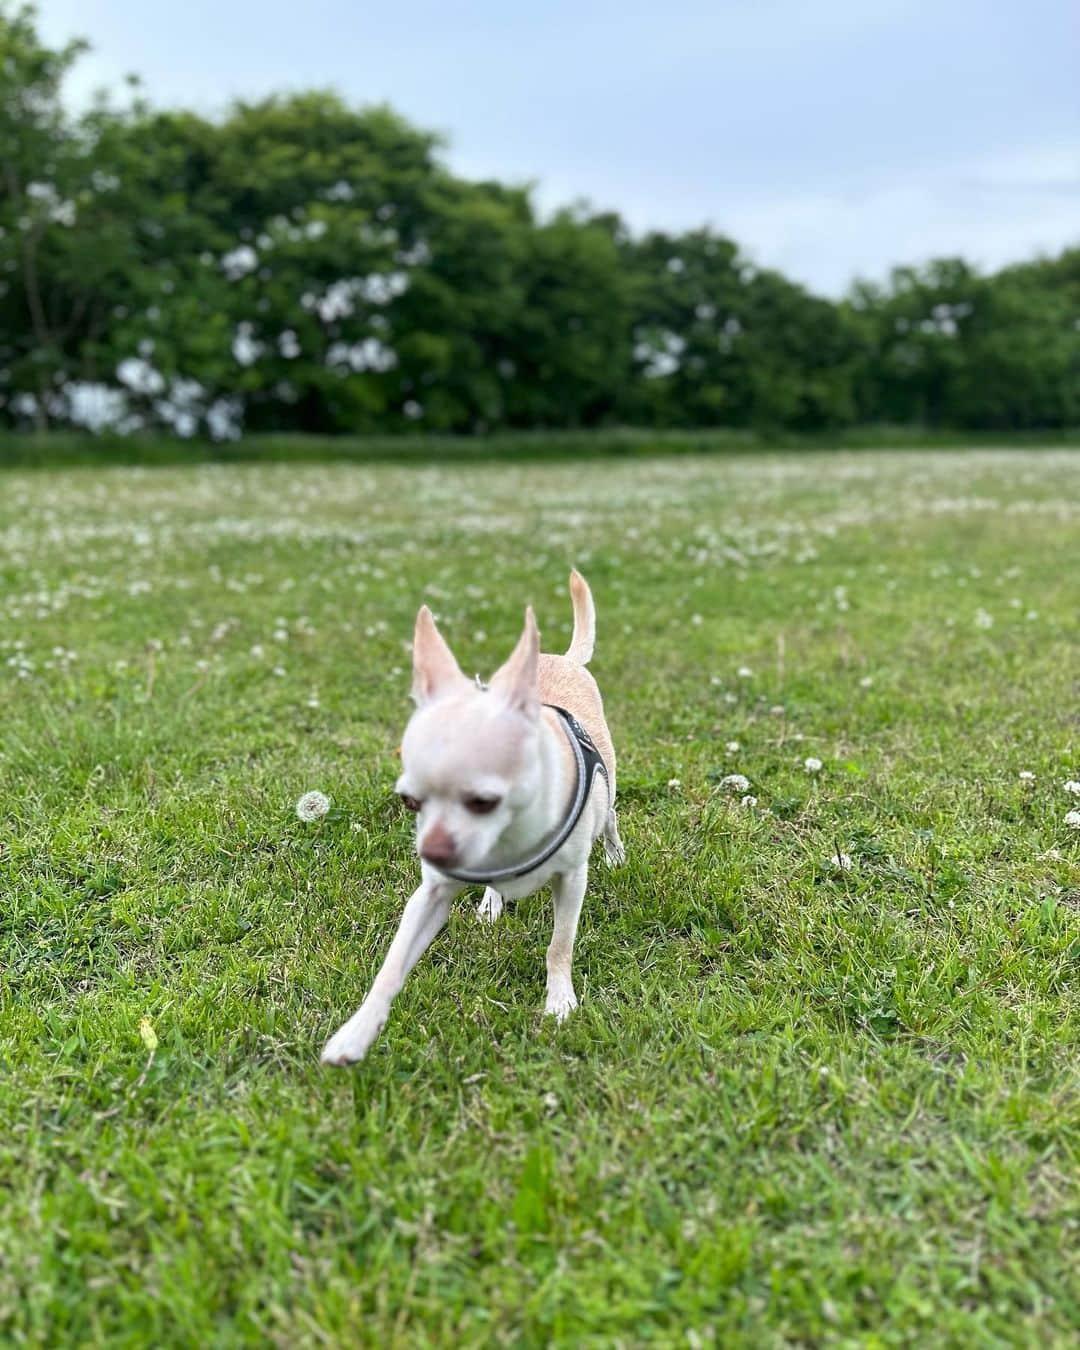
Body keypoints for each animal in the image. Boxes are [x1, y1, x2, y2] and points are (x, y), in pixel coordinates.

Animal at [322, 569, 623, 1063]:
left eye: (484, 801)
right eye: (409, 802)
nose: (433, 853)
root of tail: (559, 658)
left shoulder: (572, 879)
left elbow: (559, 945)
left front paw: (559, 1002)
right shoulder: (429, 896)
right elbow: (391, 966)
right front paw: (356, 1032)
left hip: (609, 784)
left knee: (611, 818)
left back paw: (615, 855)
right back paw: (490, 902)